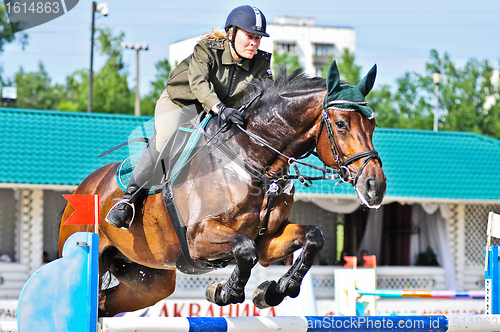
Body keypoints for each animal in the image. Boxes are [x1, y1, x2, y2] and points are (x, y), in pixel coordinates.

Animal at [58, 61, 386, 318]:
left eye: (372, 126)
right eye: (341, 124)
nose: (376, 186)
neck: (253, 160)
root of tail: (85, 186)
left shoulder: (268, 240)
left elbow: (311, 238)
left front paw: (274, 290)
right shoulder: (199, 237)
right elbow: (244, 249)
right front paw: (225, 291)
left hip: (149, 281)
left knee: (103, 304)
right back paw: (121, 210)